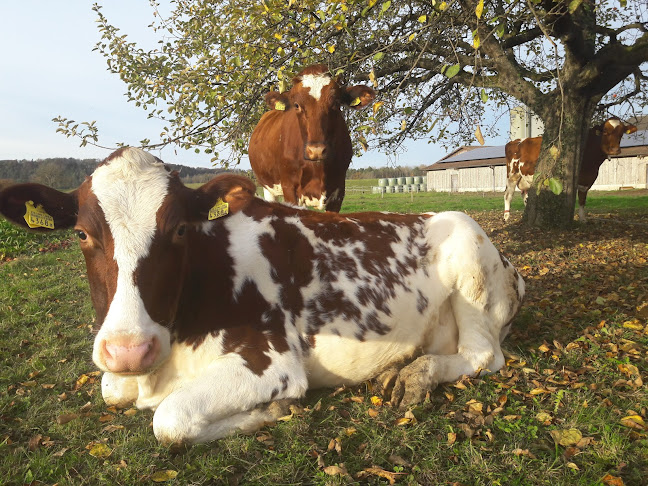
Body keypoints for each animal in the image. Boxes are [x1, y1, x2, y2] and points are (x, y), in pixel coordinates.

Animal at [0, 147, 524, 444]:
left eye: (180, 230)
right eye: (81, 235)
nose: (130, 350)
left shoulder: (272, 360)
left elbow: (170, 419)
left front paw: (268, 412)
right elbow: (112, 389)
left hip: (469, 254)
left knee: (483, 356)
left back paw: (417, 375)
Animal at [251, 63, 378, 212]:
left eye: (336, 103)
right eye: (296, 105)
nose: (316, 150)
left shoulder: (338, 190)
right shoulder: (290, 188)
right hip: (268, 187)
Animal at [502, 117, 636, 222]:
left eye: (621, 133)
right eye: (605, 132)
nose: (615, 150)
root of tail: (517, 140)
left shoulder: (587, 180)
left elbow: (582, 200)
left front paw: (583, 219)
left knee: (525, 194)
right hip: (512, 173)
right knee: (508, 194)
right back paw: (506, 217)